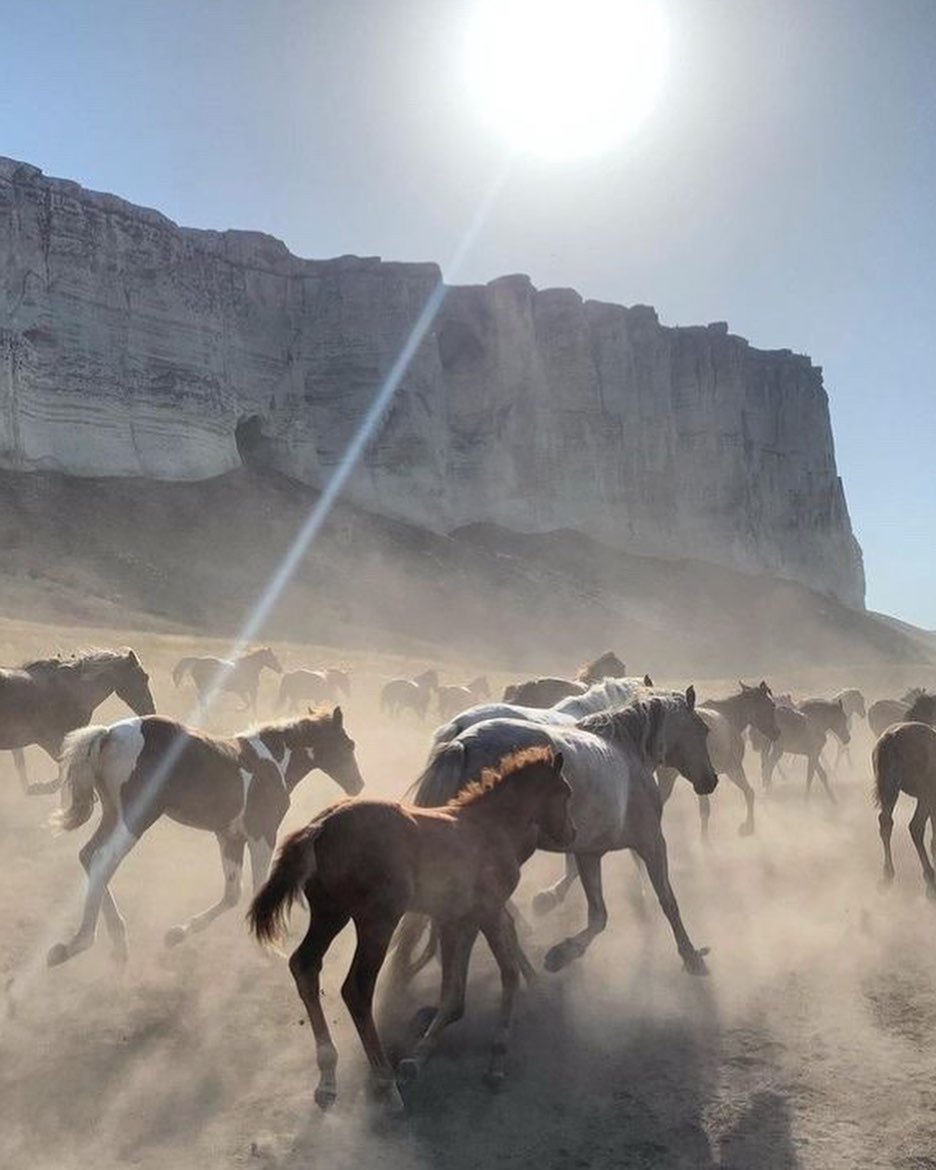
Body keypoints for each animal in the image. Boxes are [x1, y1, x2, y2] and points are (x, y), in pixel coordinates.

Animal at [47, 707, 362, 968]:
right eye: (349, 745)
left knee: (88, 855)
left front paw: (176, 934)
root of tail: (109, 734)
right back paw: (77, 944)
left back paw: (117, 945)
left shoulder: (230, 837)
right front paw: (269, 950)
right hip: (137, 817)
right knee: (103, 859)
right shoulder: (262, 834)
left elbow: (233, 894)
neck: (273, 762)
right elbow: (258, 887)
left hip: (113, 813)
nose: (358, 784)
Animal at [249, 747, 574, 1113]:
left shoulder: (455, 920)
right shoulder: (488, 913)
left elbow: (454, 996)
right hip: (377, 921)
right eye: (566, 792)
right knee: (356, 989)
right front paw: (496, 1062)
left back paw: (329, 1078)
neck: (491, 827)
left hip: (330, 914)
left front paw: (417, 1060)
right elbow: (508, 972)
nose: (572, 833)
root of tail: (322, 825)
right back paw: (386, 1085)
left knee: (305, 965)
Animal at [403, 689, 716, 982]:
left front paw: (561, 953)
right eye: (703, 729)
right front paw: (691, 957)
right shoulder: (651, 843)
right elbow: (668, 902)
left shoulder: (589, 852)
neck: (630, 754)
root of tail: (463, 742)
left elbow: (598, 914)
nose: (710, 780)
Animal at [657, 680, 781, 838]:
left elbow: (705, 809)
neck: (730, 716)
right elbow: (749, 793)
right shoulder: (733, 769)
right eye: (772, 705)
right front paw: (748, 827)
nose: (777, 732)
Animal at [874, 718, 936, 898]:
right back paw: (930, 879)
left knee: (886, 823)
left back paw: (887, 875)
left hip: (891, 791)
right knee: (916, 826)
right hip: (924, 796)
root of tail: (892, 737)